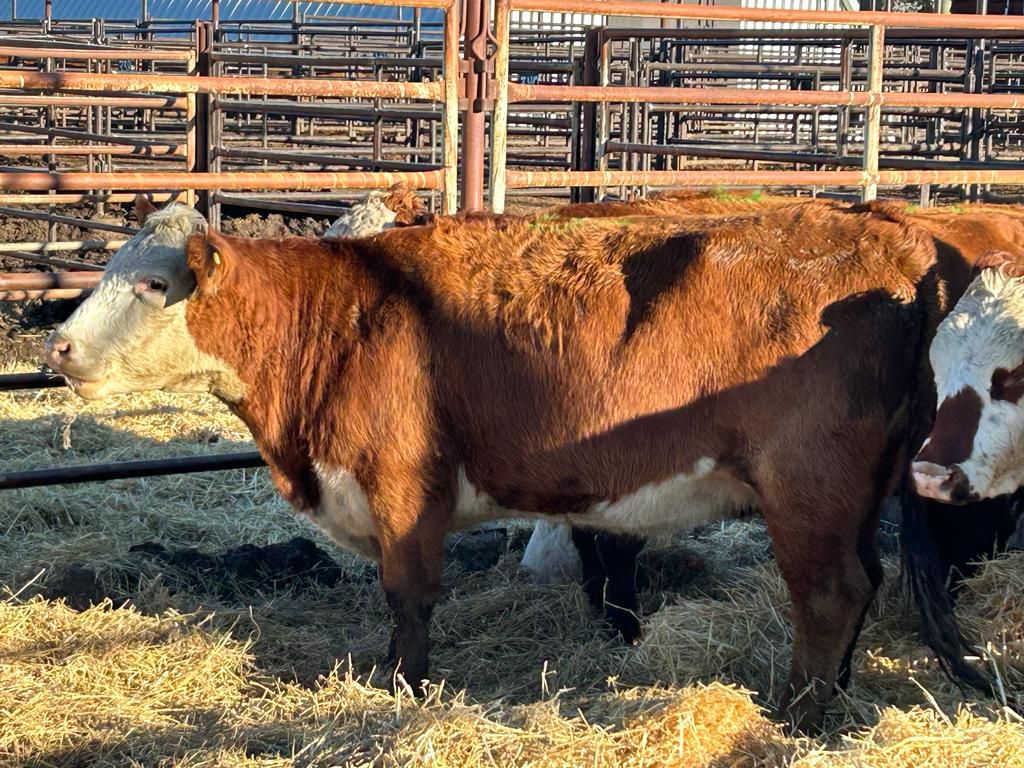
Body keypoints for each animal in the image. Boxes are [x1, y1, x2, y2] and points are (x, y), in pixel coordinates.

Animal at [43, 199, 991, 732]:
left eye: (153, 285)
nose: (56, 347)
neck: (346, 319)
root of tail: (900, 245)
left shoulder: (403, 491)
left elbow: (409, 600)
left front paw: (403, 687)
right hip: (852, 499)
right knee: (863, 583)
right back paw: (830, 700)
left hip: (808, 492)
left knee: (830, 593)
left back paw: (797, 718)